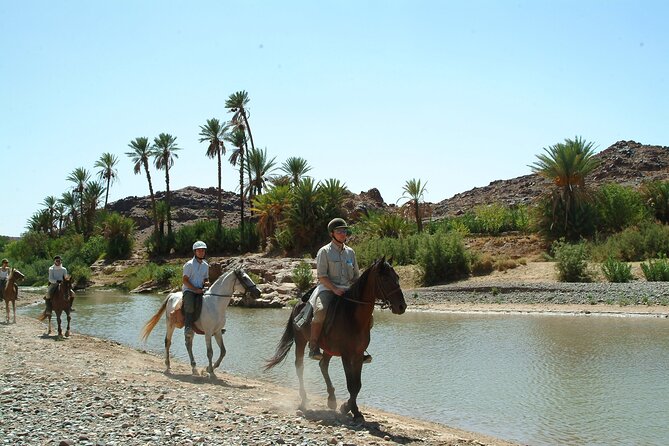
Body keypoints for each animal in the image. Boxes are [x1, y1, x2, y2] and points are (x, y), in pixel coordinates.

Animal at [265, 257, 407, 422]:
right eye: (385, 279)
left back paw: (331, 399)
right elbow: (351, 384)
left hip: (328, 349)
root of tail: (298, 304)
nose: (402, 306)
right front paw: (351, 409)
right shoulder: (346, 354)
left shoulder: (358, 355)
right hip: (301, 341)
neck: (353, 316)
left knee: (323, 365)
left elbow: (357, 385)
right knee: (300, 366)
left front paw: (350, 408)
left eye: (397, 277)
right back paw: (304, 400)